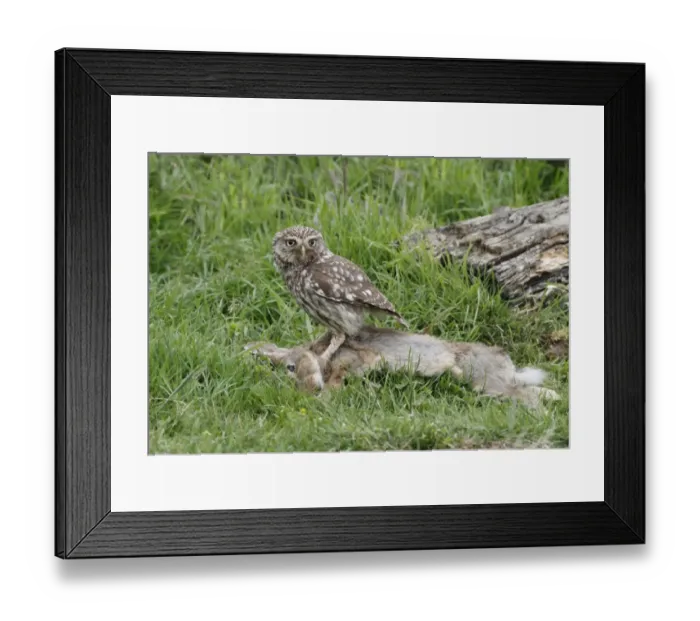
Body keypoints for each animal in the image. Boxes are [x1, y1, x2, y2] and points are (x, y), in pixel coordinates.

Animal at [245, 325, 560, 409]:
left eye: (291, 367)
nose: (309, 391)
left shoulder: (356, 359)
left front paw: (327, 396)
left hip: (486, 380)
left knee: (523, 395)